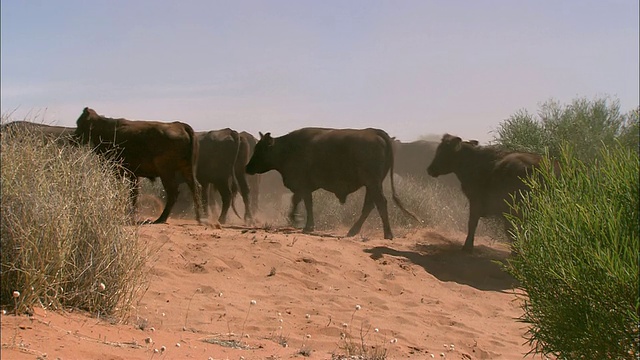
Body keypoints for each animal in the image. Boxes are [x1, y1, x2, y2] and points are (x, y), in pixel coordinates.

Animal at [73, 107, 202, 225]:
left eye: (80, 123)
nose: (73, 139)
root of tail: (180, 125)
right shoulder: (134, 175)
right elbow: (133, 194)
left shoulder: (120, 172)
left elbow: (127, 194)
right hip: (186, 170)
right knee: (195, 188)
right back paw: (199, 218)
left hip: (166, 172)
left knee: (173, 192)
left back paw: (161, 219)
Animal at [245, 126, 420, 239]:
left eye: (259, 150)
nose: (247, 167)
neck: (288, 148)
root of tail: (373, 132)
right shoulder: (303, 187)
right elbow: (300, 201)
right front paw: (300, 221)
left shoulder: (303, 185)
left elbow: (304, 203)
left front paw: (302, 223)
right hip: (371, 185)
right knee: (370, 205)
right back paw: (353, 231)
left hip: (373, 183)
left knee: (381, 203)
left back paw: (388, 234)